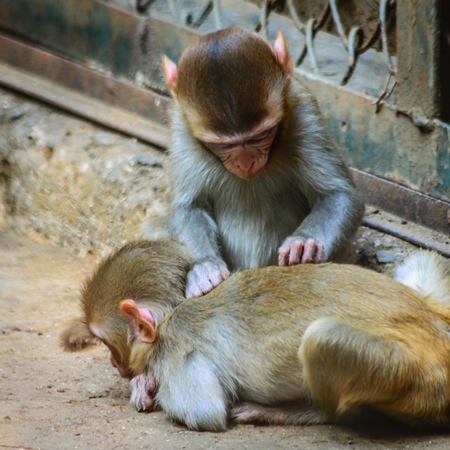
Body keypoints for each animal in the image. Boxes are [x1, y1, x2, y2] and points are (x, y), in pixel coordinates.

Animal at [66, 241, 450, 430]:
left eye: (106, 343)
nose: (113, 363)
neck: (176, 311)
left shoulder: (175, 352)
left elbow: (205, 413)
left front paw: (144, 382)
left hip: (415, 385)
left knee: (321, 339)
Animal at [163, 27, 364, 296]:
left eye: (261, 135)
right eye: (223, 145)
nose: (246, 163)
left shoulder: (305, 112)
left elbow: (339, 194)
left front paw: (303, 243)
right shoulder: (181, 130)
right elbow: (188, 206)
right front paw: (204, 267)